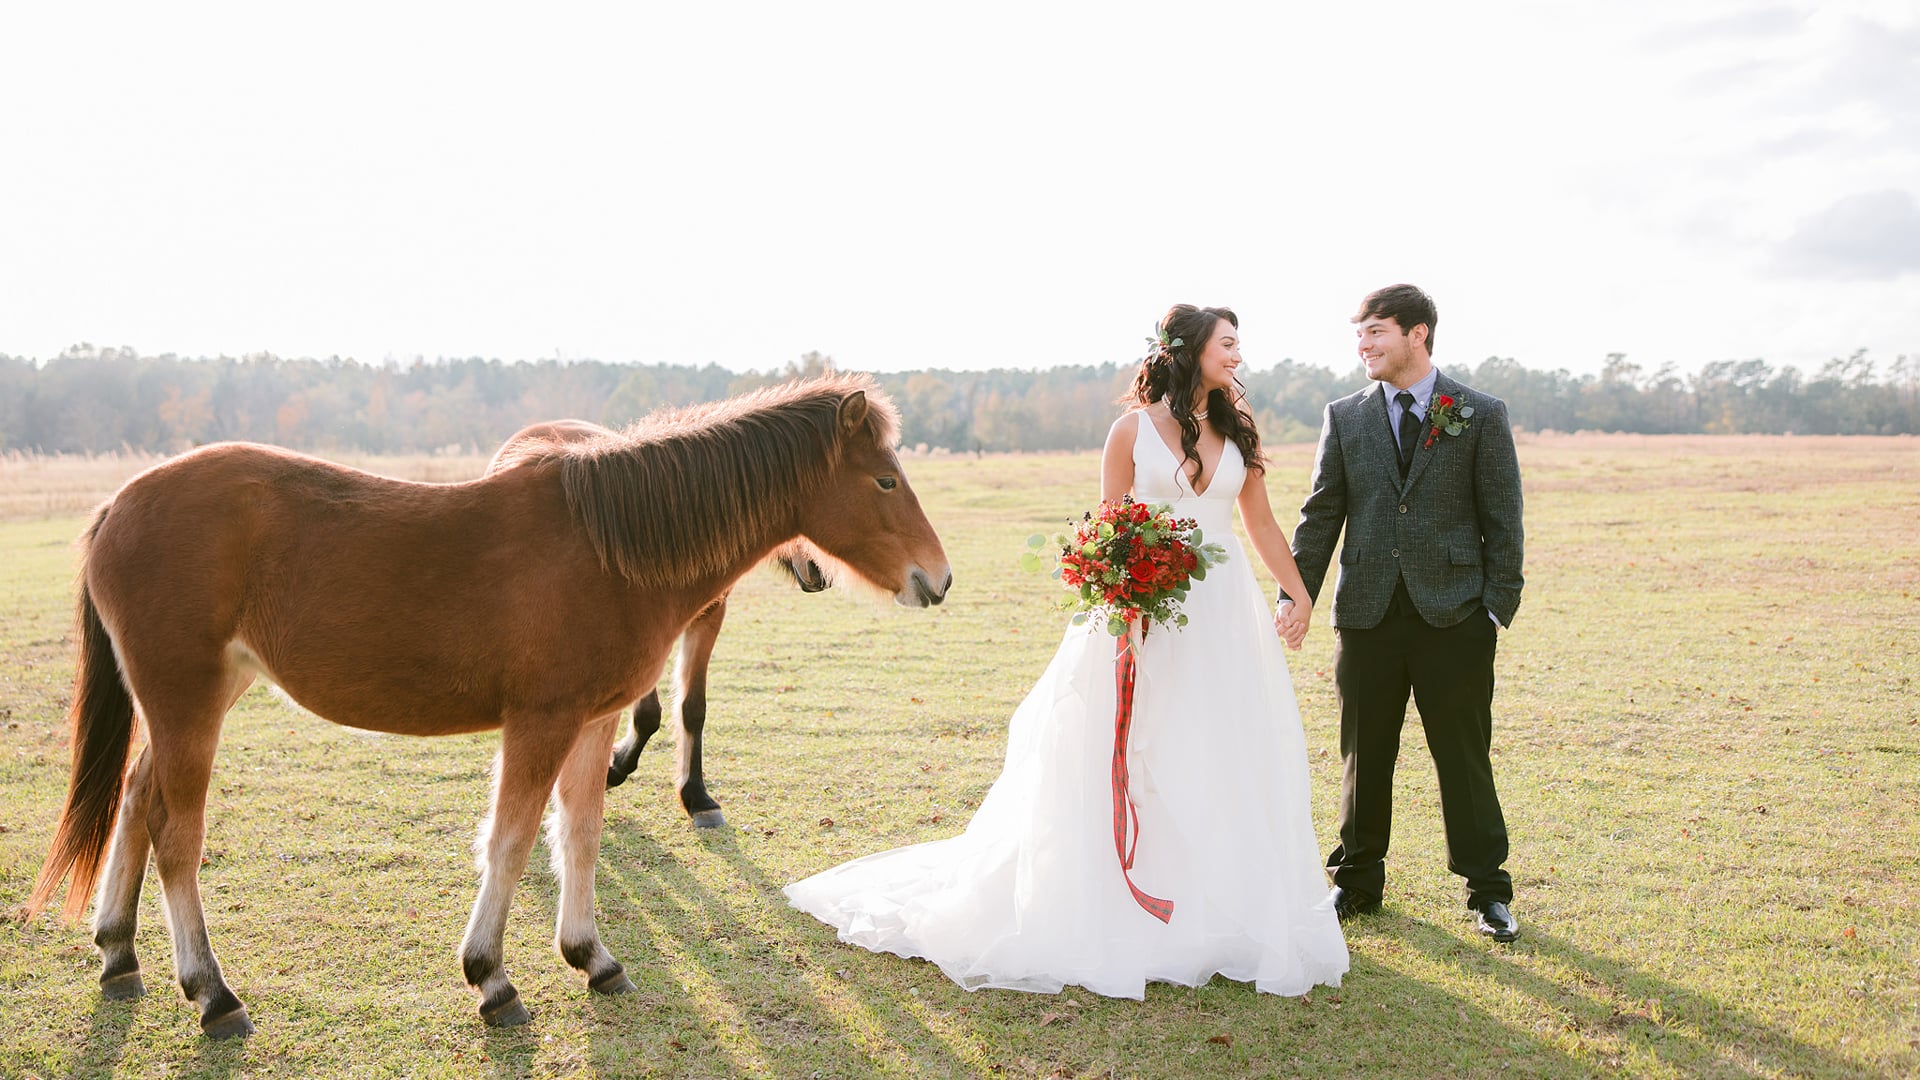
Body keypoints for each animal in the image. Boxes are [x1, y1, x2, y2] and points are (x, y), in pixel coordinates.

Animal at [483, 417, 829, 818]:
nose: (820, 570)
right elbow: (648, 713)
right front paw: (615, 767)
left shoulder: (710, 617)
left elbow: (693, 708)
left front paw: (697, 796)